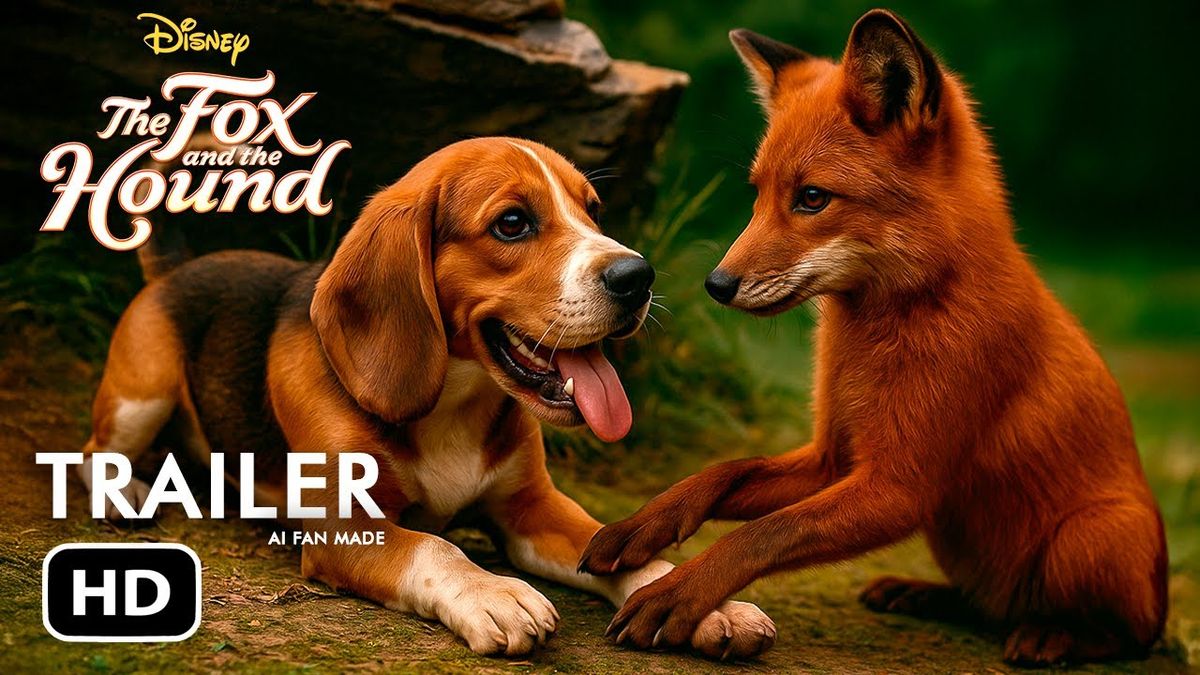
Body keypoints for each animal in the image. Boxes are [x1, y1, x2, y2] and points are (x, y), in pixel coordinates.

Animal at [578, 9, 1168, 667]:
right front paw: (641, 526)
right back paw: (924, 594)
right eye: (758, 193)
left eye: (812, 198)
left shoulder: (898, 487)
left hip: (1085, 538)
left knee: (1126, 634)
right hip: (960, 540)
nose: (716, 284)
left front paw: (678, 594)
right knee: (982, 606)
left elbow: (765, 533)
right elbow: (722, 473)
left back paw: (1055, 635)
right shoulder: (833, 460)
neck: (883, 330)